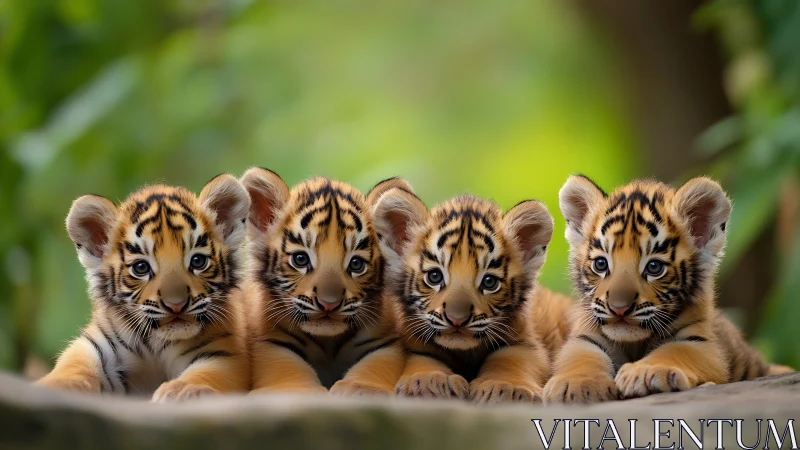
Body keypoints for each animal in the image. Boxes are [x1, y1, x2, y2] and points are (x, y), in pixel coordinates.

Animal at [37, 175, 252, 402]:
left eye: (198, 261)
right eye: (141, 267)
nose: (176, 304)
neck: (155, 344)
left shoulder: (223, 353)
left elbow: (203, 375)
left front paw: (181, 391)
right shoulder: (95, 347)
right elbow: (73, 366)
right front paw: (52, 386)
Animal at [241, 168, 406, 396]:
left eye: (356, 264)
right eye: (300, 259)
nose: (329, 303)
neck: (328, 342)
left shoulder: (386, 340)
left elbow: (377, 364)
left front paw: (359, 389)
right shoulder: (269, 340)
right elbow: (286, 367)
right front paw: (300, 389)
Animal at [372, 188, 574, 404]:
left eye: (489, 282)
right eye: (434, 276)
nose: (457, 319)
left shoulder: (525, 342)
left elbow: (511, 359)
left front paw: (505, 387)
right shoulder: (415, 342)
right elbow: (423, 360)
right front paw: (429, 381)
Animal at [543, 175, 794, 403]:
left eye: (654, 267)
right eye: (601, 264)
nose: (619, 307)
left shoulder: (701, 343)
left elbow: (674, 351)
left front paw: (645, 373)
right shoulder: (586, 334)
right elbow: (581, 356)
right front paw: (576, 384)